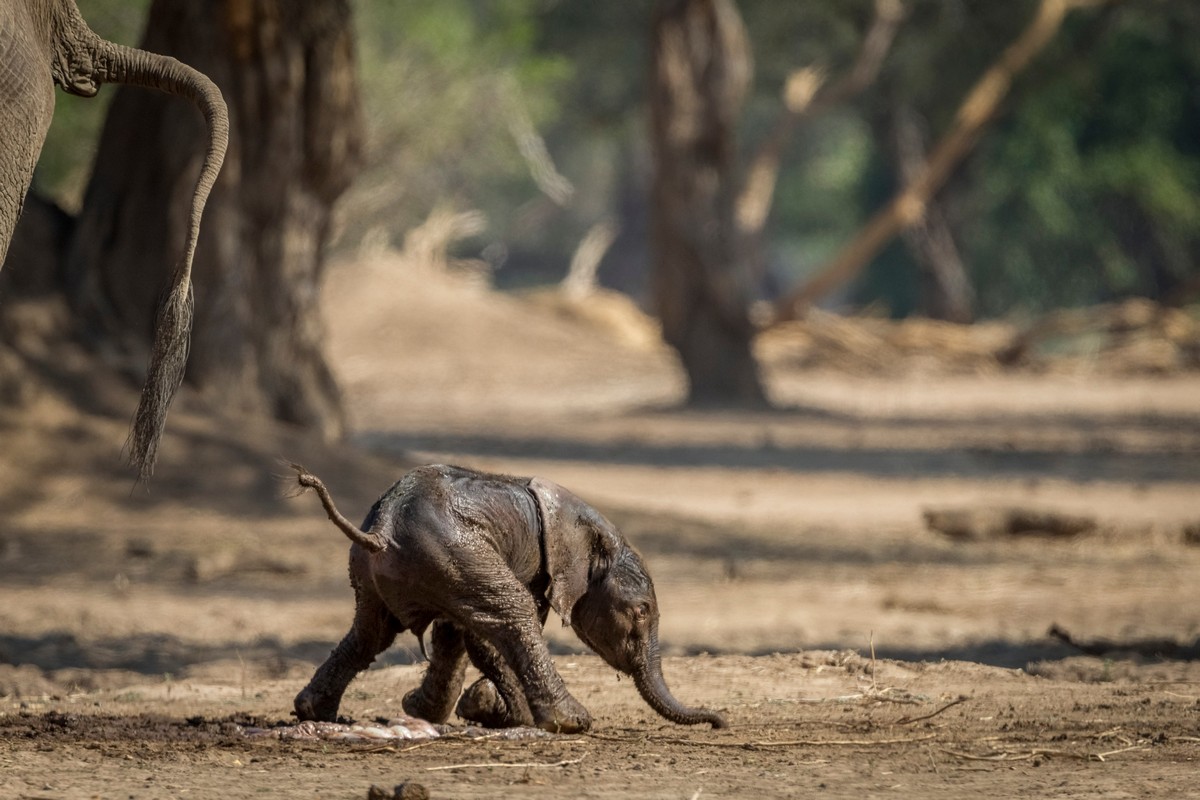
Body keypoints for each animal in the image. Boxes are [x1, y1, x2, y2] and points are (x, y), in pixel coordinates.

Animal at [292, 462, 720, 734]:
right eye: (641, 611)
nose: (719, 721)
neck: (597, 529)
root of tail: (381, 530)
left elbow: (454, 635)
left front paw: (441, 707)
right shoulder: (539, 567)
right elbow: (491, 632)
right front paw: (493, 710)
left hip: (399, 567)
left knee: (370, 634)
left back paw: (315, 712)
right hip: (450, 552)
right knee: (513, 614)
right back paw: (571, 721)